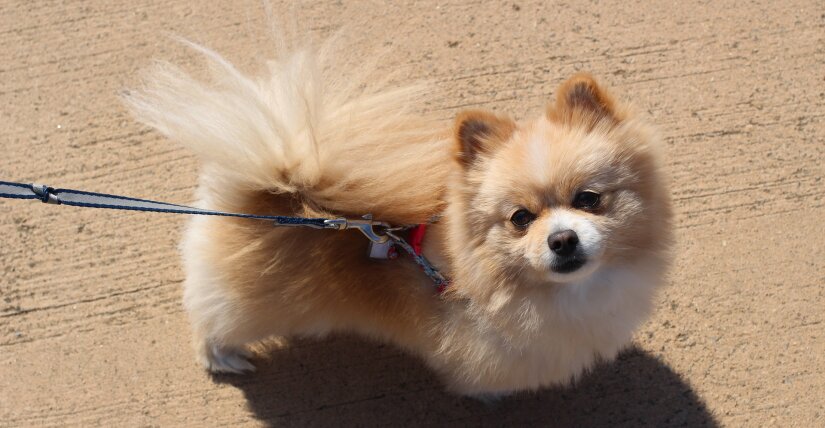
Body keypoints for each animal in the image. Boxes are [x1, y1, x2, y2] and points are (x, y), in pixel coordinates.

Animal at [125, 41, 672, 396]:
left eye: (589, 199)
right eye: (520, 218)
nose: (561, 240)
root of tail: (271, 187)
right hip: (250, 305)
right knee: (209, 319)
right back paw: (222, 358)